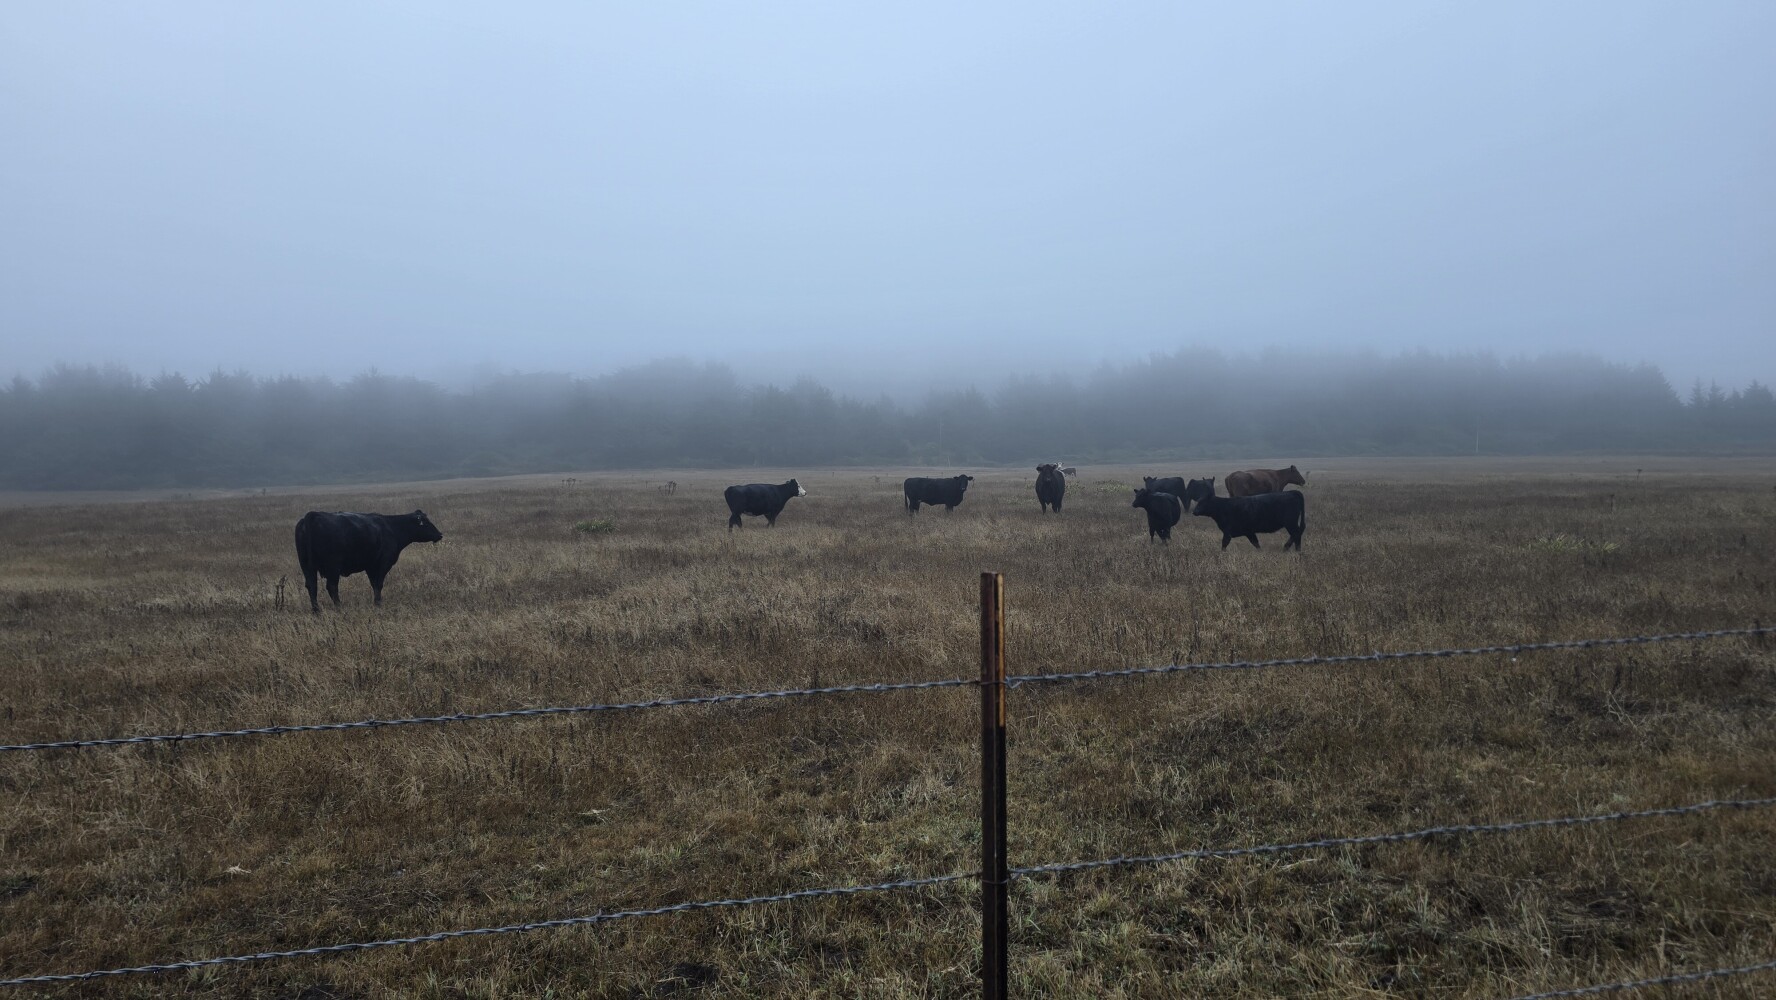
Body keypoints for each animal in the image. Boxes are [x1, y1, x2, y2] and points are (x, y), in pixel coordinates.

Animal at [294, 510, 443, 614]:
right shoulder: (383, 564)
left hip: (307, 567)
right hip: (333, 567)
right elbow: (378, 584)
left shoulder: (370, 566)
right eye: (426, 523)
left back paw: (316, 611)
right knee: (332, 587)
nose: (440, 534)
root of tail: (312, 515)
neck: (391, 527)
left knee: (312, 586)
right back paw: (339, 607)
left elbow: (374, 584)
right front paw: (378, 603)